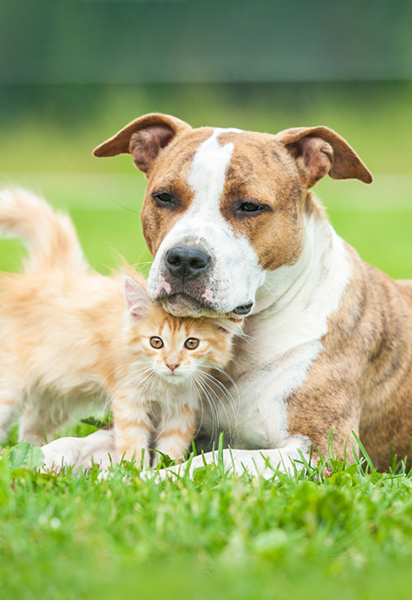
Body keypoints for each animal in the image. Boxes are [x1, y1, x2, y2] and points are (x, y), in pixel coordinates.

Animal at [0, 190, 240, 466]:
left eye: (192, 344)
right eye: (156, 342)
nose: (172, 364)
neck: (164, 385)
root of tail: (49, 273)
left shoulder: (182, 410)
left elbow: (170, 450)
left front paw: (163, 471)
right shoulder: (128, 400)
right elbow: (133, 444)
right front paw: (135, 470)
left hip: (54, 394)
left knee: (31, 428)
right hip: (11, 385)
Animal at [41, 113, 412, 478]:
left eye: (250, 206)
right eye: (164, 197)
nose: (185, 258)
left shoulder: (323, 451)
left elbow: (215, 460)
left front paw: (148, 480)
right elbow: (77, 443)